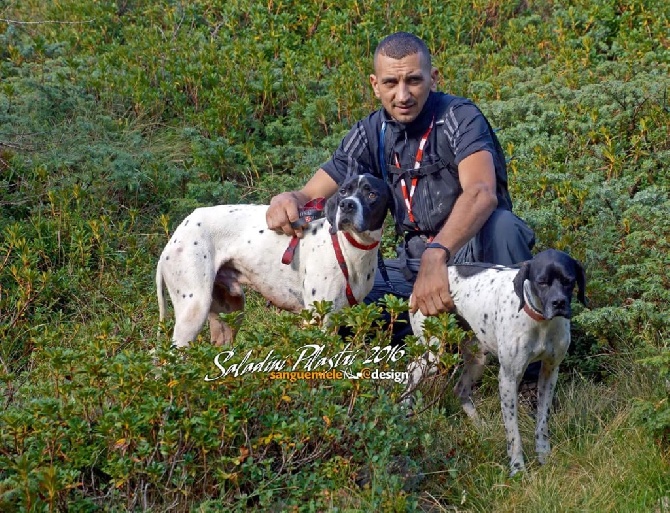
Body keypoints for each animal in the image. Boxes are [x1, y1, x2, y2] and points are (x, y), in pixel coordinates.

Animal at [156, 173, 394, 348]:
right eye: (344, 190)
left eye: (372, 194)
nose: (346, 205)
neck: (350, 248)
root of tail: (176, 235)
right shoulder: (318, 321)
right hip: (194, 309)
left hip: (230, 312)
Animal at [404, 248, 588, 476]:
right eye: (542, 282)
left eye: (569, 281)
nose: (559, 303)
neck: (541, 323)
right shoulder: (509, 377)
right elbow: (513, 434)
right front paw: (518, 469)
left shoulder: (549, 372)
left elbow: (542, 423)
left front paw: (544, 456)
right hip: (432, 355)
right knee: (410, 373)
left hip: (478, 358)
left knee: (460, 390)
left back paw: (481, 427)